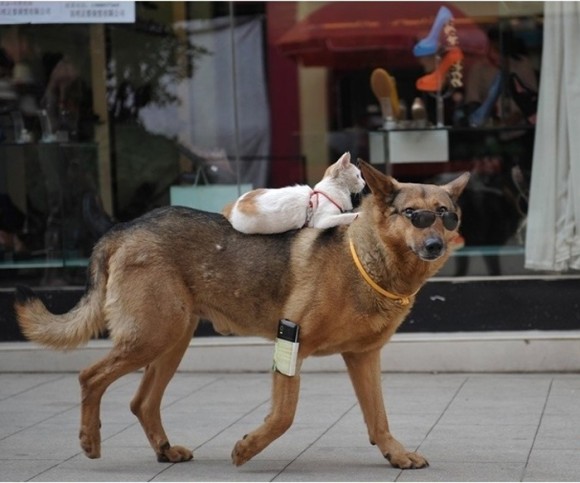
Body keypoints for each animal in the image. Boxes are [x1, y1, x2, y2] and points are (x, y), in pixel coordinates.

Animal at [14, 161, 472, 470]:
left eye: (446, 216)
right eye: (415, 216)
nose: (436, 246)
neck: (365, 258)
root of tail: (123, 228)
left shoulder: (363, 358)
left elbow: (378, 418)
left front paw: (395, 454)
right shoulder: (292, 341)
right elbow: (284, 416)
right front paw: (248, 448)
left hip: (171, 341)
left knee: (141, 401)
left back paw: (164, 449)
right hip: (152, 337)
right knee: (90, 377)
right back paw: (90, 440)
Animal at [224, 151, 364, 234]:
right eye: (357, 176)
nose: (364, 183)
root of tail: (232, 205)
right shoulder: (323, 220)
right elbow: (345, 216)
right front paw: (359, 214)